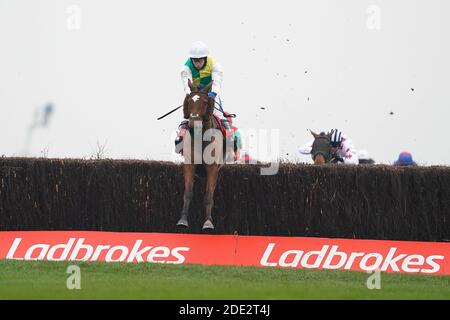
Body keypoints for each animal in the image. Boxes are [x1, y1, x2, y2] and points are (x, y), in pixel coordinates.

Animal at [175, 80, 225, 230]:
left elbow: (209, 196)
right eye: (189, 101)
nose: (194, 124)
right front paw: (183, 220)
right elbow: (188, 193)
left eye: (205, 102)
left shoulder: (212, 168)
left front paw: (208, 222)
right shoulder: (190, 165)